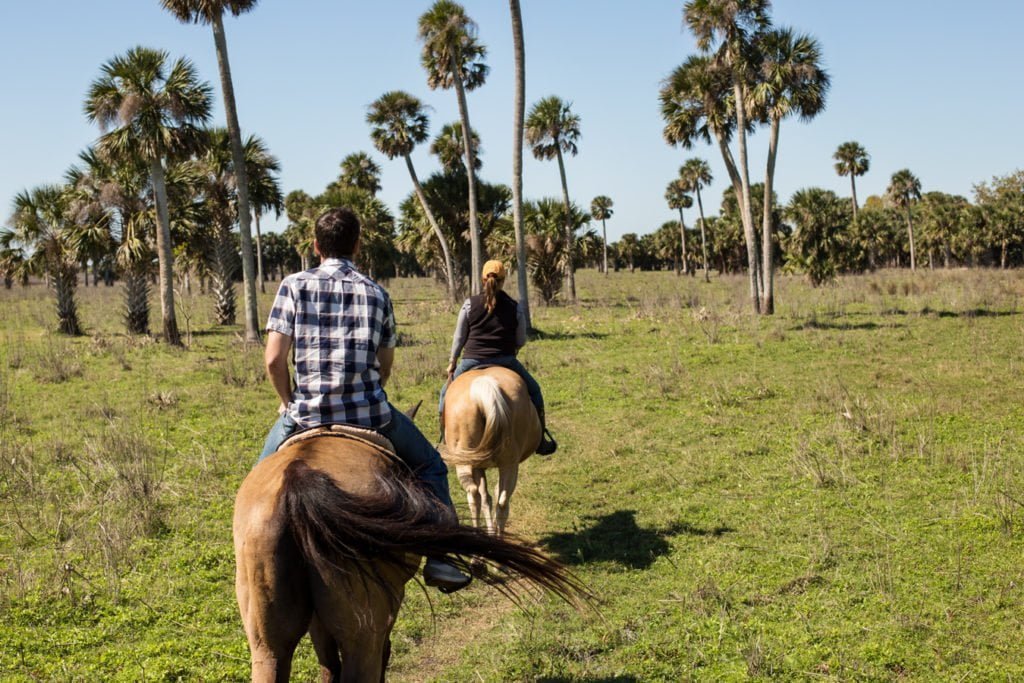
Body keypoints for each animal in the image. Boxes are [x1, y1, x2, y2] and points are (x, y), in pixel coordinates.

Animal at [442, 366, 544, 536]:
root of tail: (485, 385)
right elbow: (488, 497)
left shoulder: (477, 466)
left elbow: (484, 497)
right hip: (508, 463)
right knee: (500, 500)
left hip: (467, 461)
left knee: (476, 494)